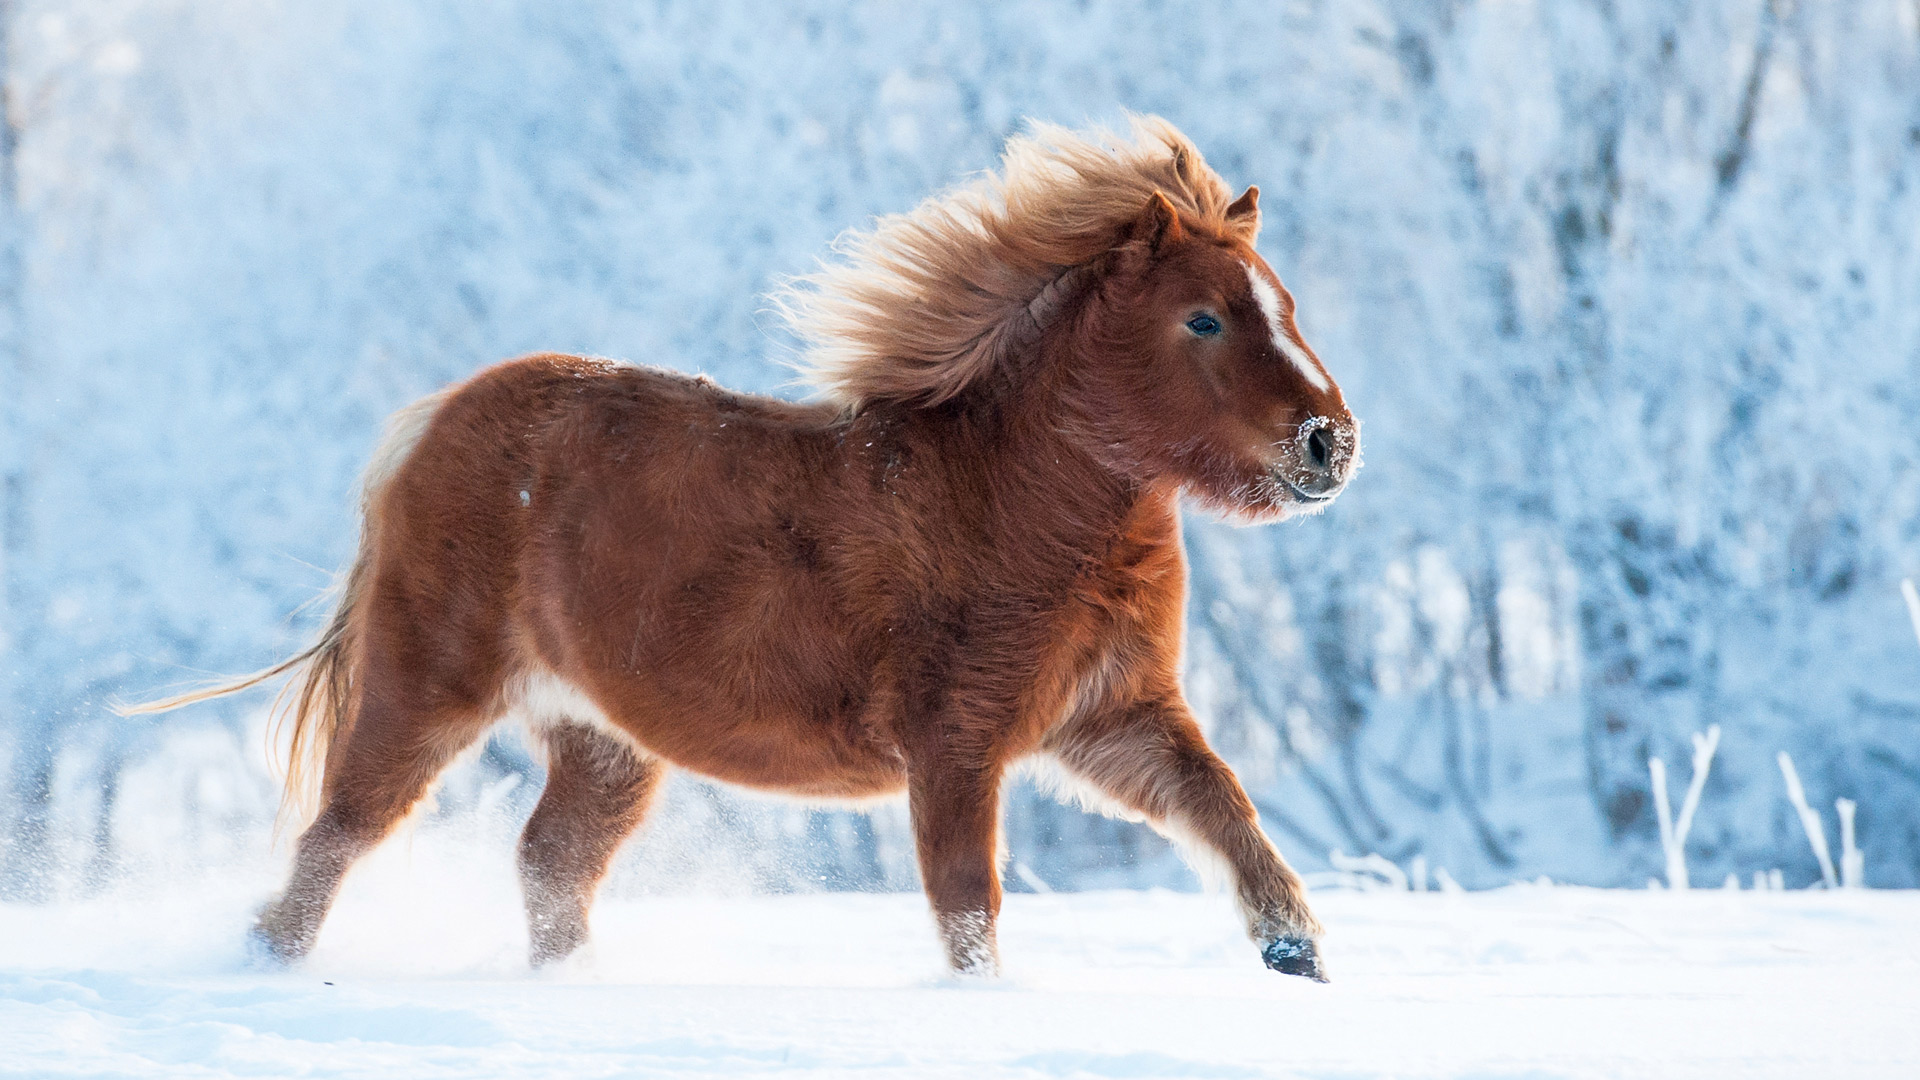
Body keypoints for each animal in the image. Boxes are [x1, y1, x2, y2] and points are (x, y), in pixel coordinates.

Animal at [128, 116, 1360, 980]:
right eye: (1202, 319)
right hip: (427, 692)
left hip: (604, 742)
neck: (1011, 500)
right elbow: (969, 903)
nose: (1329, 443)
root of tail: (431, 422)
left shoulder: (1112, 720)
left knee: (549, 865)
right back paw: (268, 971)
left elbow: (1223, 807)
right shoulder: (959, 746)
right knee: (339, 837)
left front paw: (1295, 952)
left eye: (1285, 303)